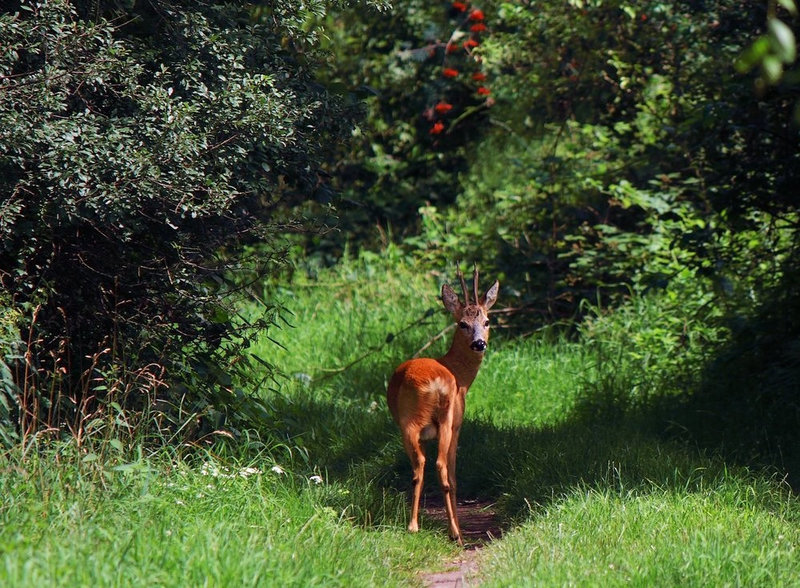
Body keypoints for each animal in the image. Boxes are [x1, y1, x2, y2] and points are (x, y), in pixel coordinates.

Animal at [386, 264, 496, 544]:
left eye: (487, 321)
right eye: (463, 324)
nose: (479, 343)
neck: (459, 375)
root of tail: (434, 383)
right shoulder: (458, 425)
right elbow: (454, 477)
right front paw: (456, 526)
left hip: (409, 425)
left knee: (419, 467)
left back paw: (414, 525)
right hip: (441, 419)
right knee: (439, 466)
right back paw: (453, 532)